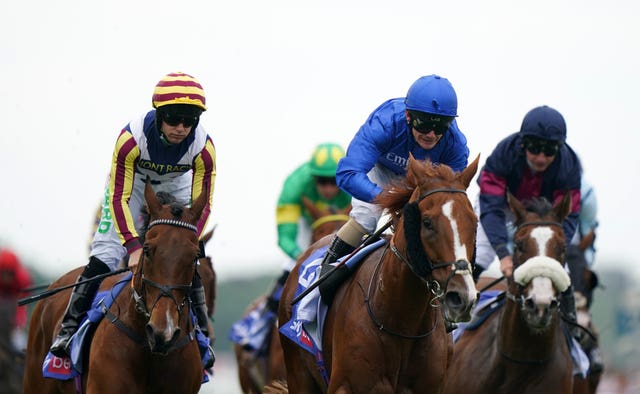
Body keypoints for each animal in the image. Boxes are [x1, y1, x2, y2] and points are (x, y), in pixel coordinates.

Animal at [278, 155, 478, 392]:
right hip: (298, 374)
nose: (462, 297)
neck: (402, 322)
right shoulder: (346, 385)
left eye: (474, 223)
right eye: (427, 222)